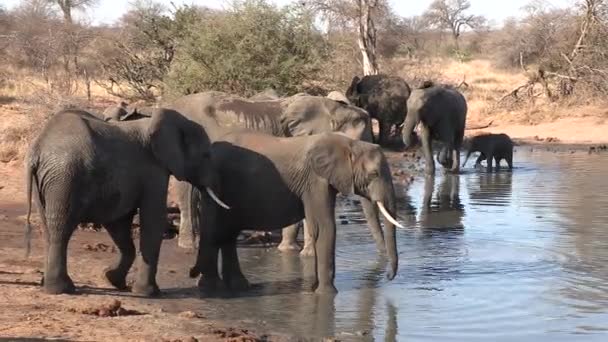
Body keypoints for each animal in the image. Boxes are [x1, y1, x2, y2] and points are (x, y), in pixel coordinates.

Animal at [22, 108, 228, 296]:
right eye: (206, 155)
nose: (192, 273)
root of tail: (37, 150)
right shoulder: (153, 171)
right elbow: (153, 220)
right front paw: (148, 293)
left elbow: (119, 223)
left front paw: (111, 279)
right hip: (65, 177)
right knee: (61, 228)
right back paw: (61, 289)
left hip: (48, 181)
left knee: (48, 228)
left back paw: (50, 284)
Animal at [163, 91, 390, 256]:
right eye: (358, 144)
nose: (381, 258)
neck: (333, 109)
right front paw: (297, 252)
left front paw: (302, 253)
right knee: (187, 192)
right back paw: (190, 246)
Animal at [188, 132, 402, 296]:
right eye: (374, 174)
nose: (388, 276)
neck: (349, 143)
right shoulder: (315, 181)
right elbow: (324, 228)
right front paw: (326, 294)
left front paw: (315, 290)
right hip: (215, 185)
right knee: (216, 230)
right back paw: (210, 287)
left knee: (228, 233)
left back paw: (239, 287)